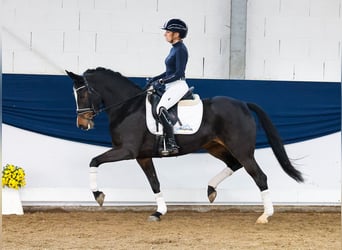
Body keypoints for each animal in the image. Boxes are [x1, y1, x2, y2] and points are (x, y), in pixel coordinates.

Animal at [65, 67, 304, 224]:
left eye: (83, 93)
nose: (82, 125)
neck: (127, 107)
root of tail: (243, 104)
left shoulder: (127, 151)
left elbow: (94, 161)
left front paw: (98, 196)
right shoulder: (142, 156)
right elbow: (154, 182)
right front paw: (159, 212)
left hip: (242, 150)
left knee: (259, 176)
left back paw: (265, 215)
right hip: (215, 146)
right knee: (234, 165)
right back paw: (210, 190)